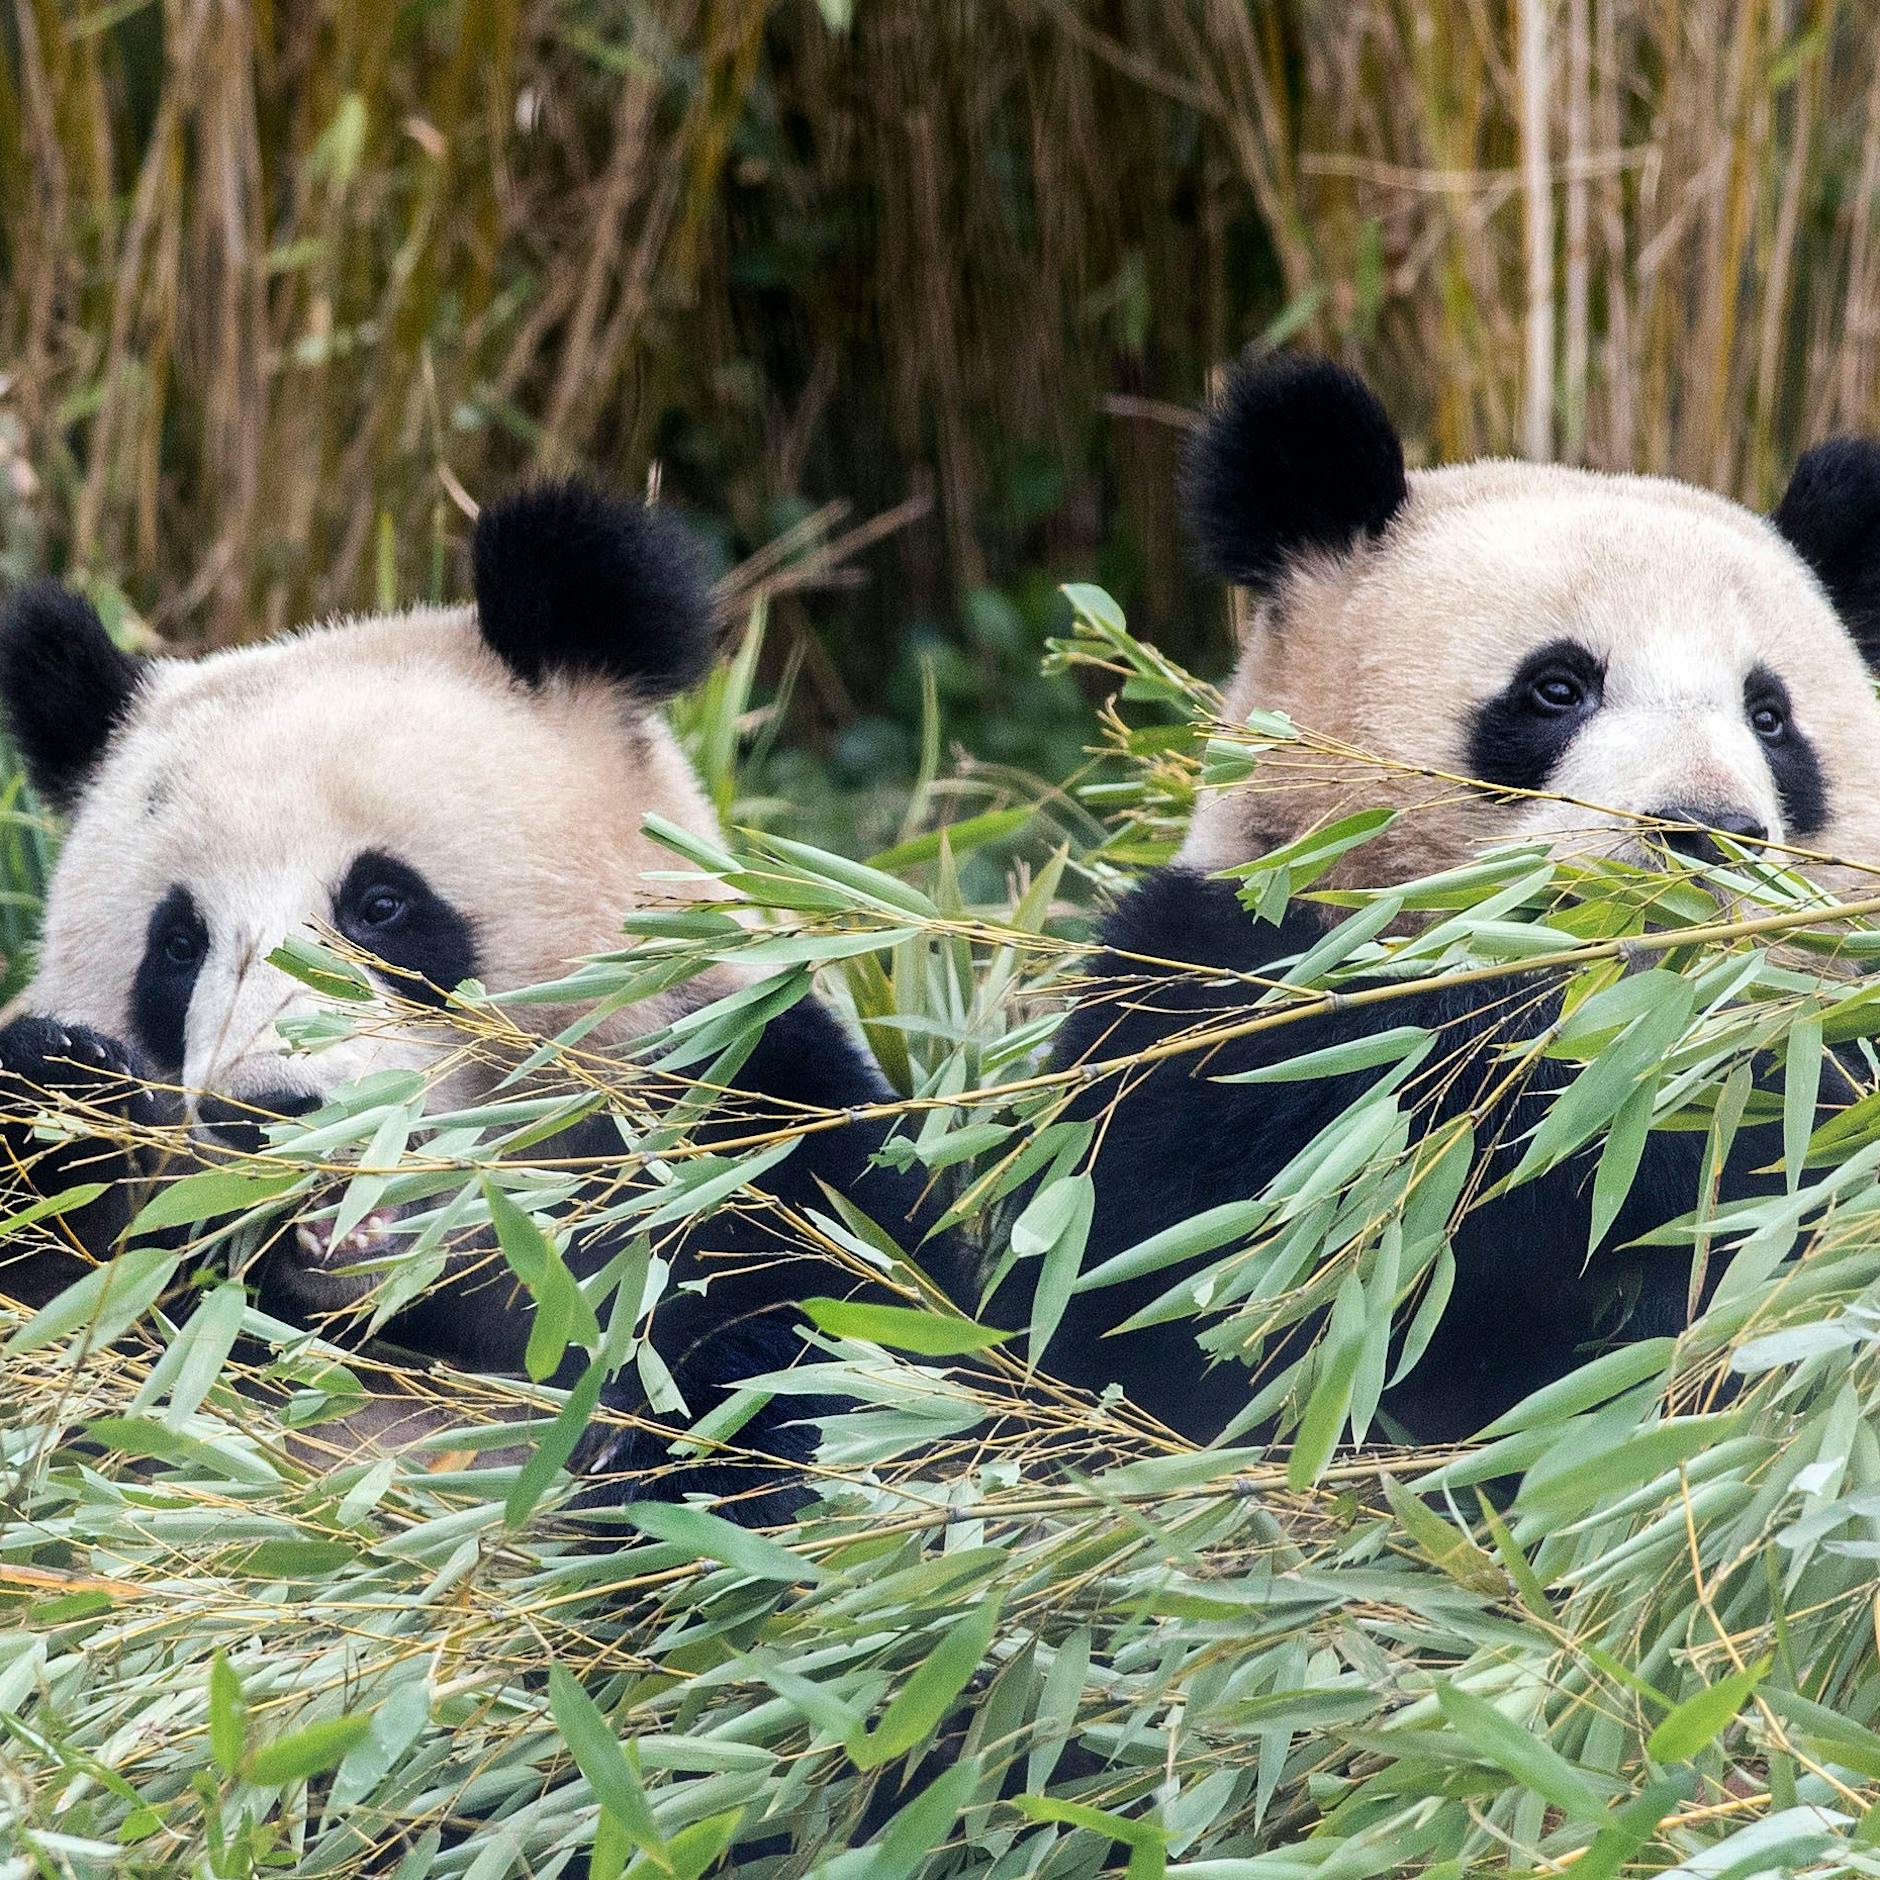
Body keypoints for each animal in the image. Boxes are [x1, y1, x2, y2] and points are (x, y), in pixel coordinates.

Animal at [0, 480, 969, 1521]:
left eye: (382, 905)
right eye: (179, 947)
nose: (266, 1110)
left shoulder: (749, 1125)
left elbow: (846, 1355)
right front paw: (61, 1105)